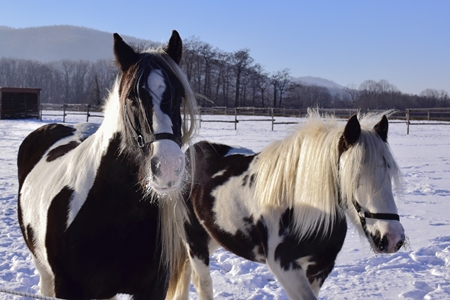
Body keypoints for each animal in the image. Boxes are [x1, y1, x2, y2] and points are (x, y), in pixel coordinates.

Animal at [17, 31, 197, 300]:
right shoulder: (68, 288)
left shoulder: (152, 289)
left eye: (178, 96)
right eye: (132, 98)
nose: (167, 167)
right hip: (43, 270)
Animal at [171, 112, 406, 300]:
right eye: (353, 175)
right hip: (195, 241)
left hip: (212, 238)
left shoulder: (320, 269)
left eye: (388, 171)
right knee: (202, 284)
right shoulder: (284, 266)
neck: (305, 209)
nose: (392, 238)